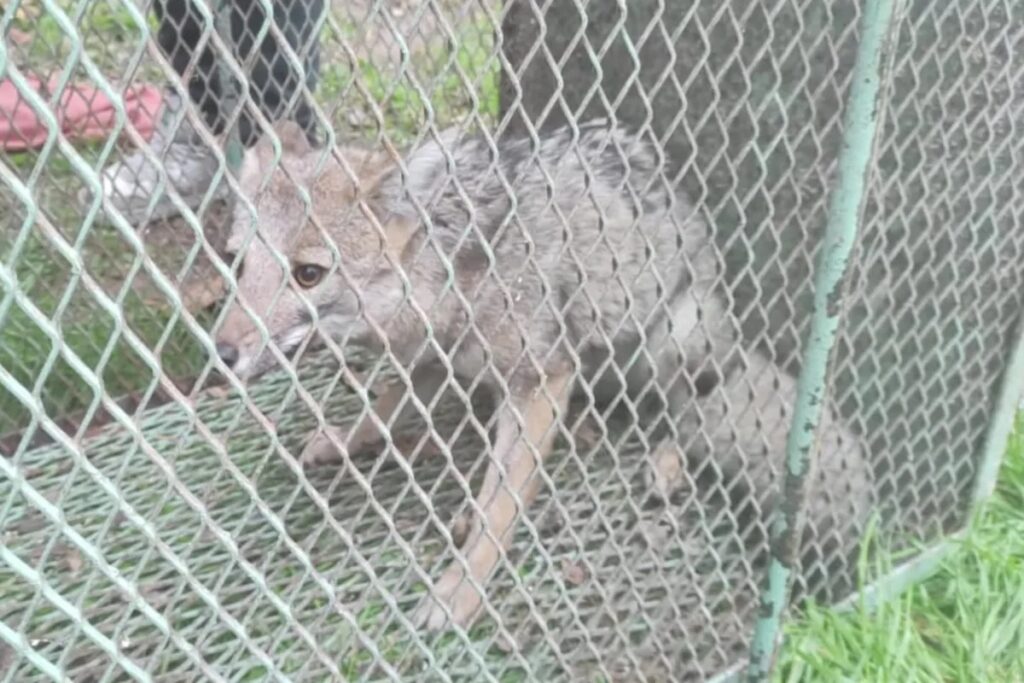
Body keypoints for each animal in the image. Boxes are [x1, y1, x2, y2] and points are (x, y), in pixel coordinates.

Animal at [214, 119, 870, 630]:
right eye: (237, 263)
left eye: (307, 274)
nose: (220, 352)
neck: (454, 271)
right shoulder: (433, 357)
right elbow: (387, 404)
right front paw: (344, 439)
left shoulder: (541, 379)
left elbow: (501, 506)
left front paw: (461, 590)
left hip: (672, 339)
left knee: (686, 412)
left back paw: (666, 462)